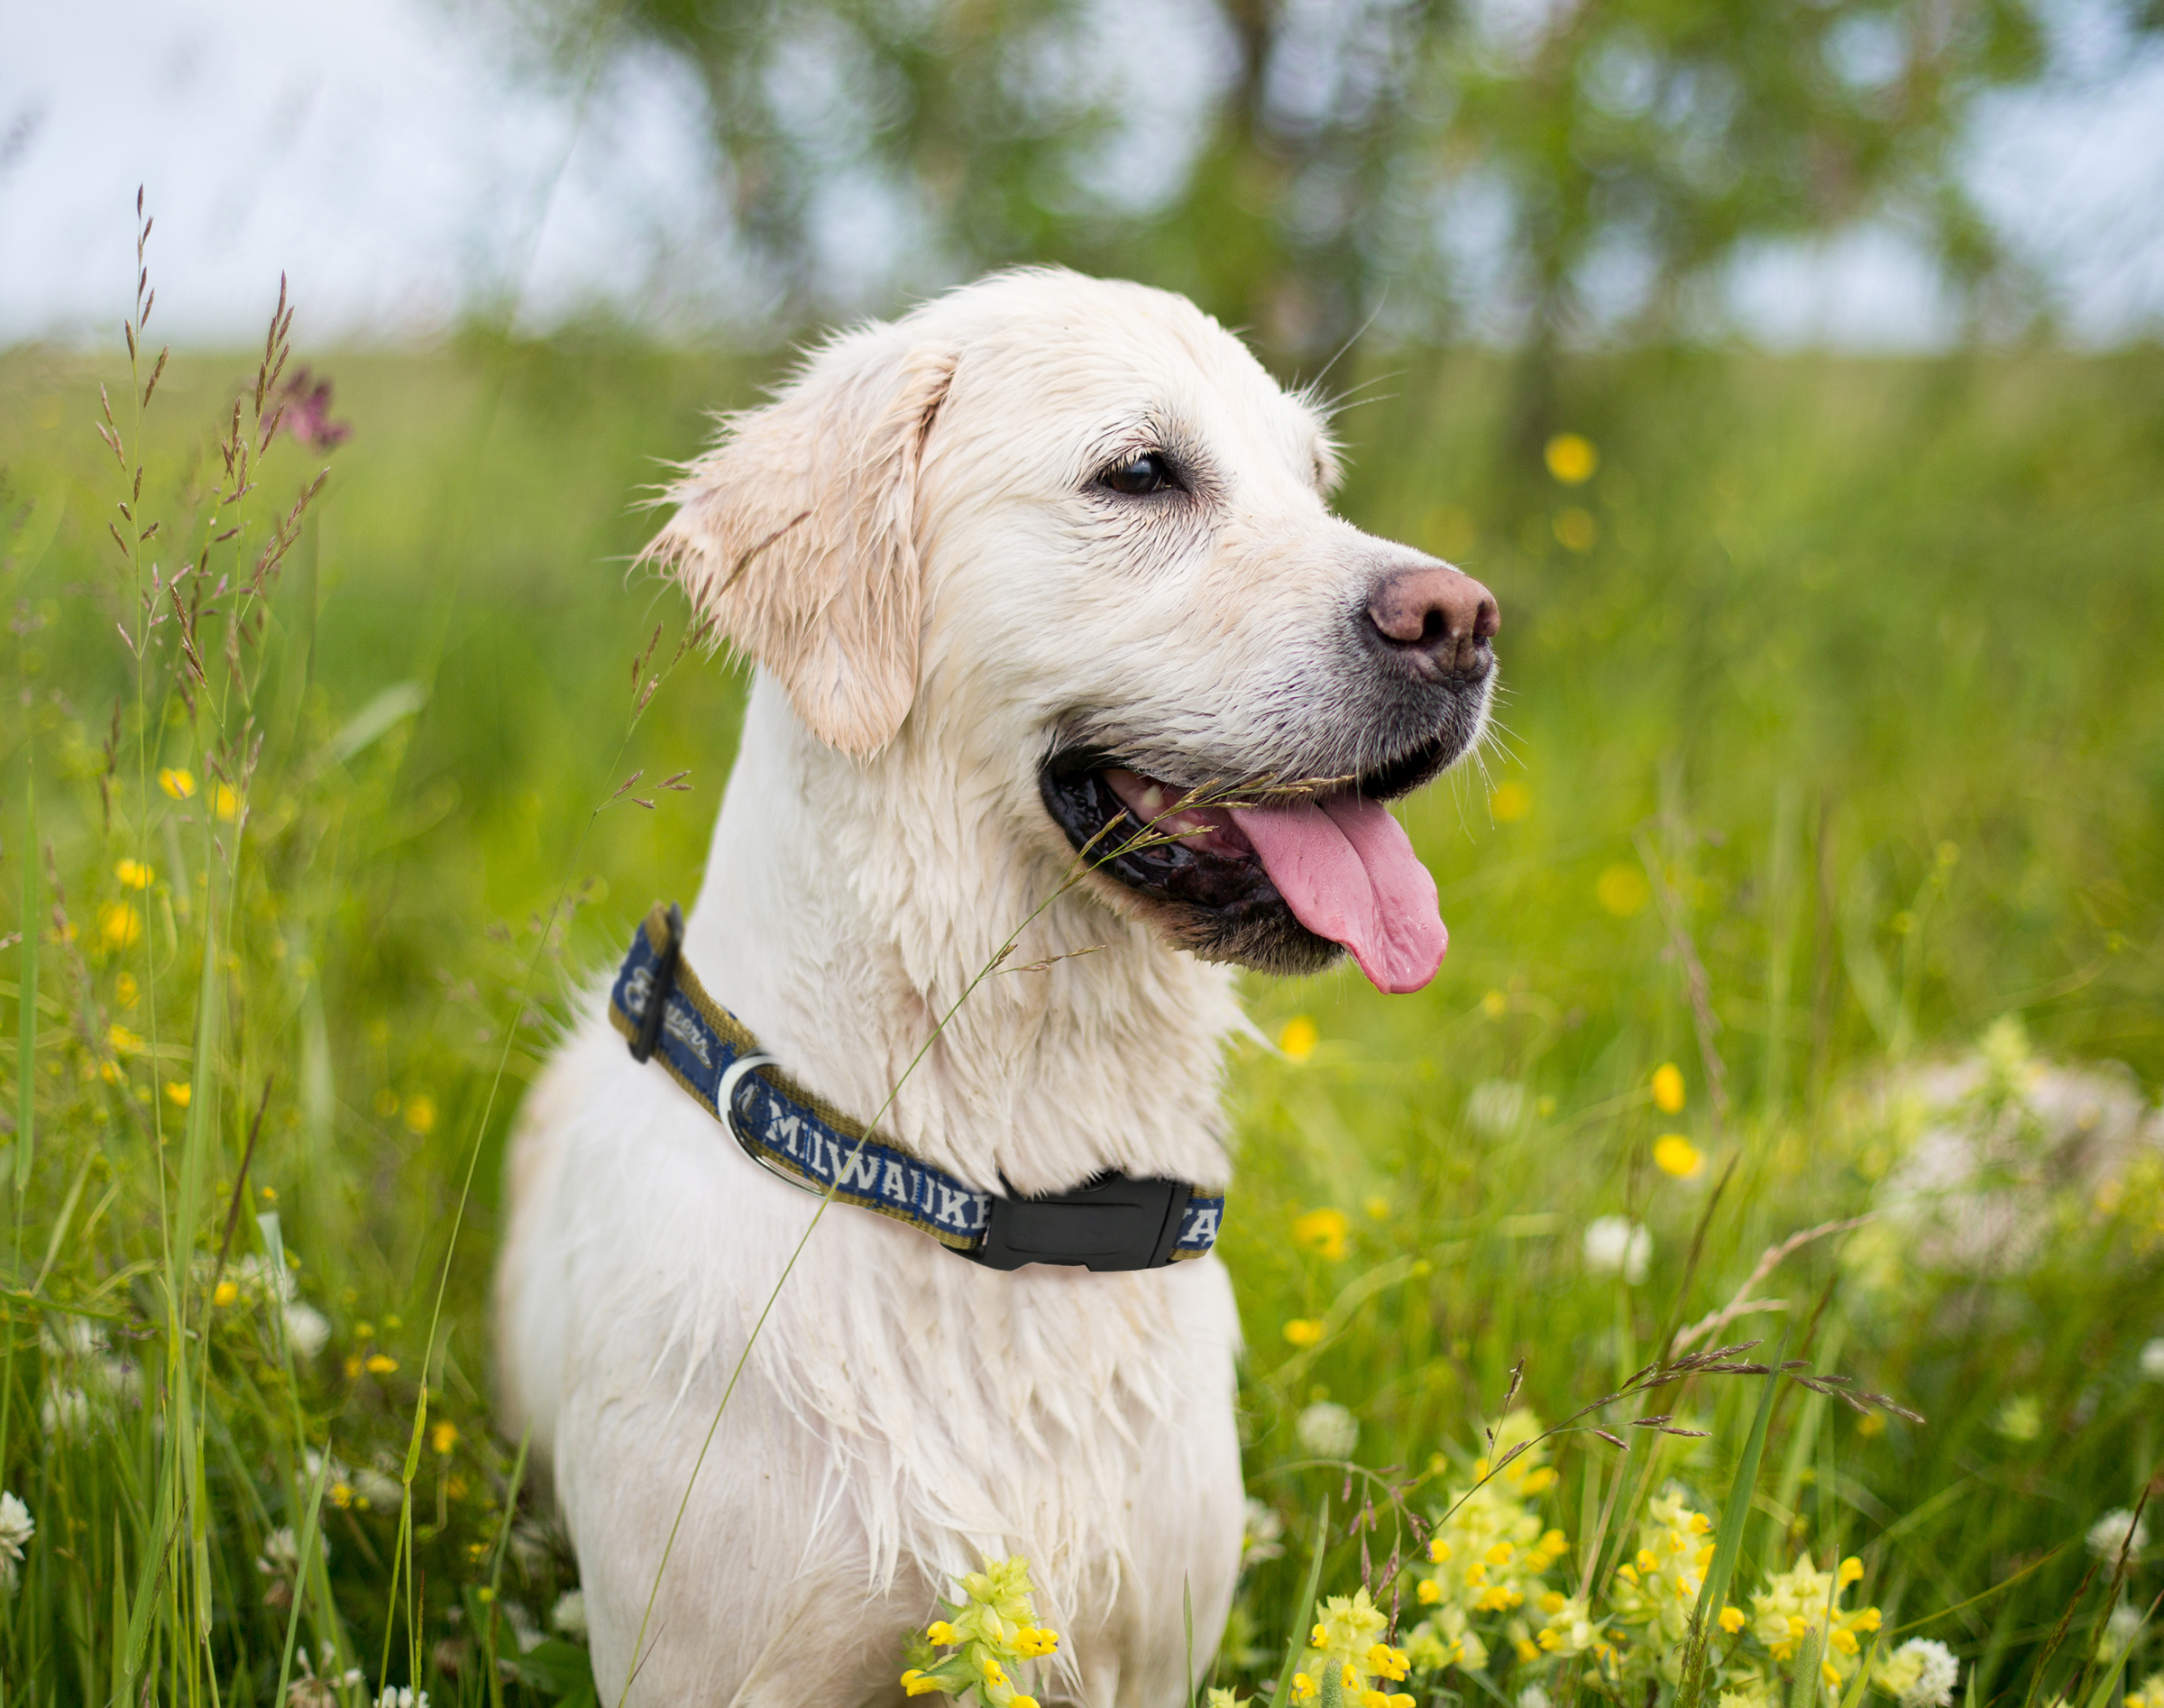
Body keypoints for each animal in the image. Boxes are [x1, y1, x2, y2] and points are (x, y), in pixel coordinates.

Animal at [495, 269, 1497, 1705]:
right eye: (1141, 472)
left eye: (1316, 481)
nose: (1461, 622)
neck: (1002, 1189)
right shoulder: (705, 1661)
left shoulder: (1151, 1650)